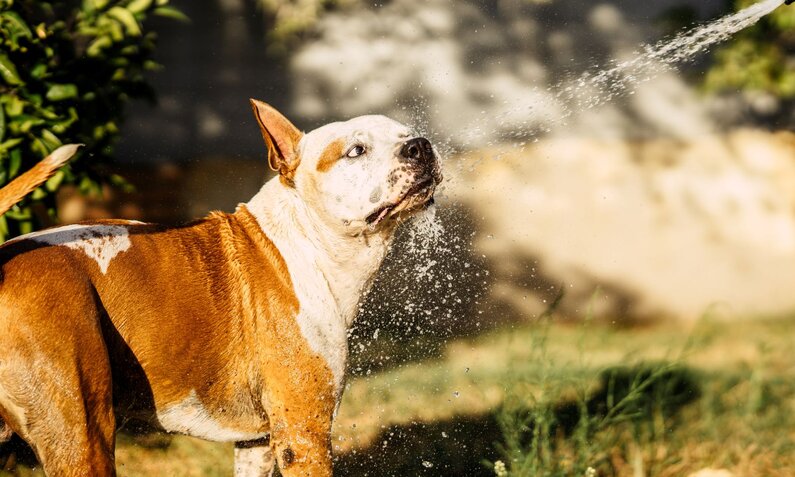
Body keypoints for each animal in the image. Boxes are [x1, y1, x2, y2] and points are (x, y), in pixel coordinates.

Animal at [0, 98, 442, 474]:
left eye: (406, 134)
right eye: (356, 150)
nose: (420, 146)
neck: (307, 240)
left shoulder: (259, 443)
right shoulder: (304, 433)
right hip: (82, 431)